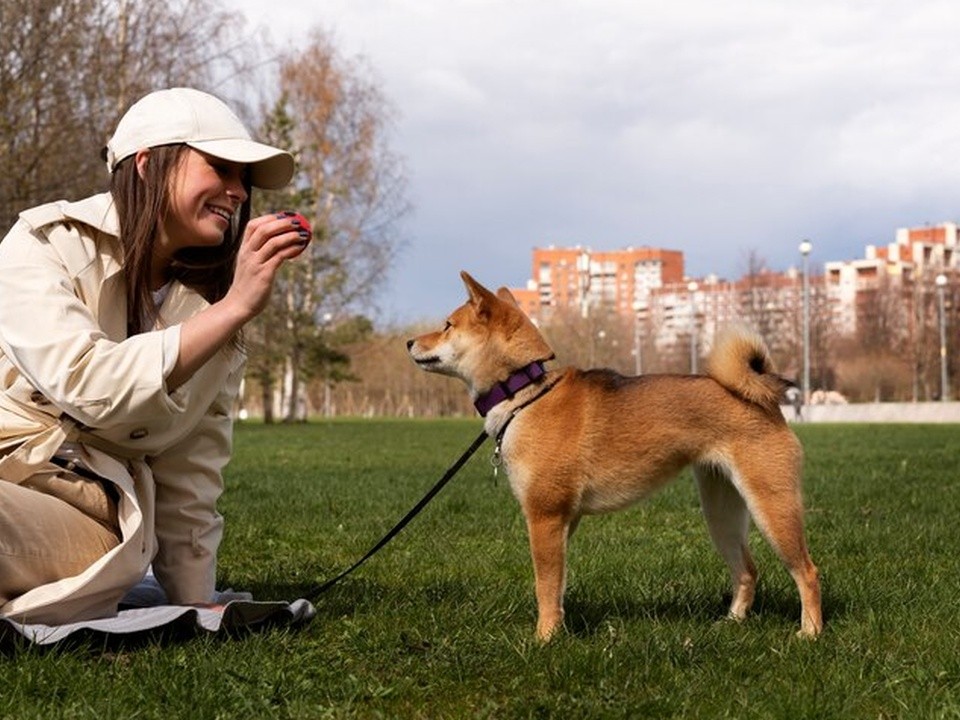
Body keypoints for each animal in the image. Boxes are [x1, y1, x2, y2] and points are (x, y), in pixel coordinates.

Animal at [404, 272, 816, 640]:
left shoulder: (544, 517)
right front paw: (557, 629)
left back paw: (810, 632)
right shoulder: (563, 521)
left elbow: (544, 585)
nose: (408, 341)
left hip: (771, 505)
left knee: (807, 572)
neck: (523, 392)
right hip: (722, 513)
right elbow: (556, 587)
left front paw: (543, 640)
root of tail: (762, 399)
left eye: (447, 325)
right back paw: (731, 622)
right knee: (747, 570)